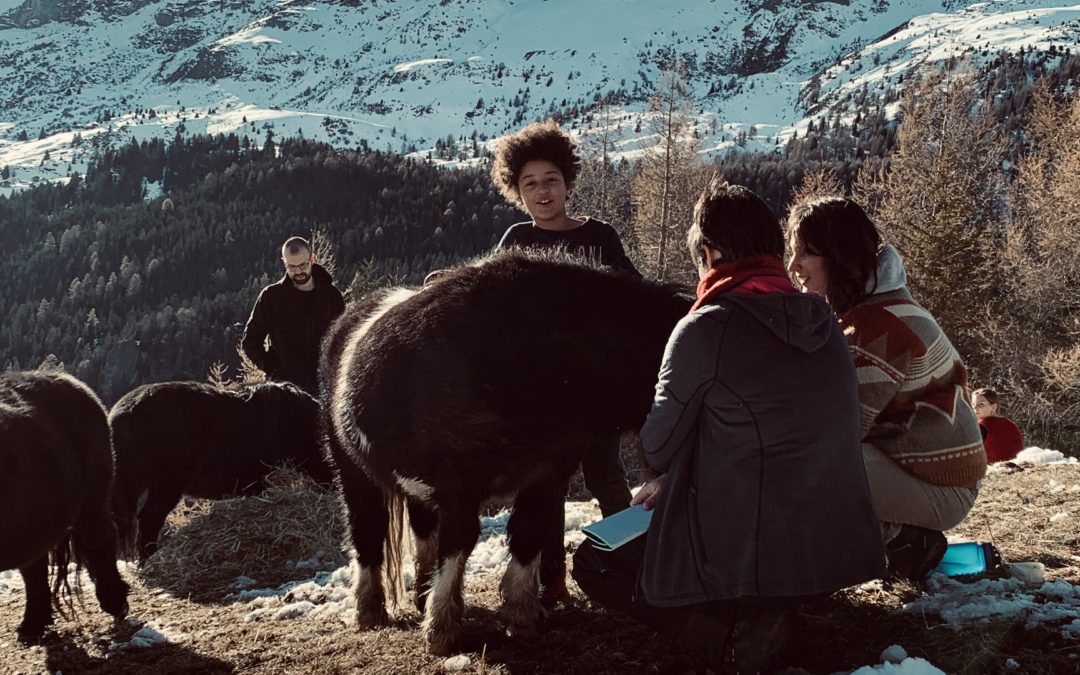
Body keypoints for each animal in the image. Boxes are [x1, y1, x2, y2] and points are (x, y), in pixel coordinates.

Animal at [321, 251, 691, 652]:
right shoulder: (459, 488)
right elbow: (458, 544)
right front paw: (442, 628)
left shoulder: (546, 474)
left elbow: (528, 535)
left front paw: (521, 616)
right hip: (354, 473)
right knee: (366, 531)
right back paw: (370, 609)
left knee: (422, 529)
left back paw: (420, 594)